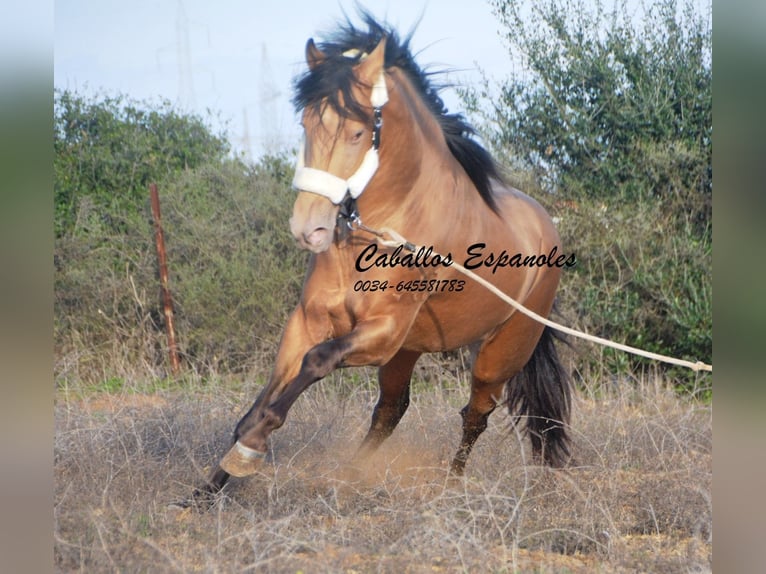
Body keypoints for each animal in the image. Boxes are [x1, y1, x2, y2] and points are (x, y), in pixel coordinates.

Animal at [198, 13, 568, 500]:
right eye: (305, 123)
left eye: (357, 133)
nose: (308, 229)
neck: (386, 231)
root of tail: (545, 224)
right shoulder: (311, 321)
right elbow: (264, 398)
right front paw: (211, 486)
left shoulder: (383, 333)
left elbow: (315, 363)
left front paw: (249, 452)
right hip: (408, 352)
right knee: (391, 410)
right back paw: (352, 474)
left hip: (498, 356)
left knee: (475, 415)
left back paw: (450, 486)